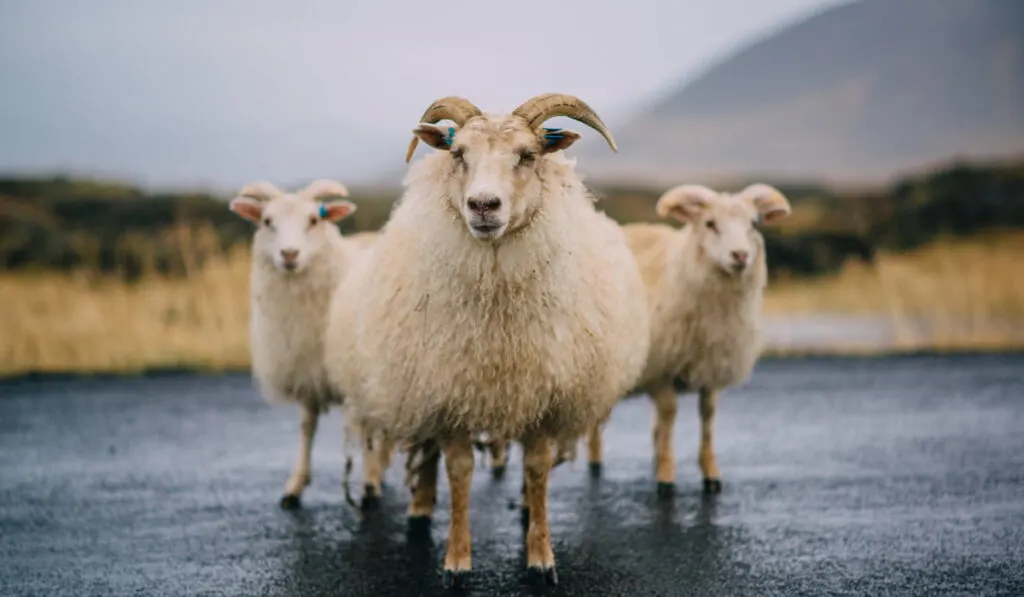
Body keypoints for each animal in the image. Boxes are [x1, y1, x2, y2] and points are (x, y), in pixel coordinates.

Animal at [228, 177, 387, 509]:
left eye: (314, 220)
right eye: (267, 221)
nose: (289, 254)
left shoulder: (359, 376)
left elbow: (367, 428)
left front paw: (369, 483)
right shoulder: (307, 371)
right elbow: (307, 428)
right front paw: (295, 485)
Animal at [325, 94, 647, 589]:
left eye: (528, 156)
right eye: (459, 154)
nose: (482, 205)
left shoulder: (543, 395)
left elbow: (537, 469)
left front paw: (540, 557)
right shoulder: (451, 393)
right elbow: (458, 472)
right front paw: (457, 562)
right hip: (418, 385)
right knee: (427, 454)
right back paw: (420, 509)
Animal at [585, 181, 790, 495]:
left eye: (754, 224)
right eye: (710, 224)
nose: (740, 255)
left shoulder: (710, 367)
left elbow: (707, 415)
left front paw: (710, 473)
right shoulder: (661, 369)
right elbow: (670, 414)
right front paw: (666, 477)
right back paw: (596, 459)